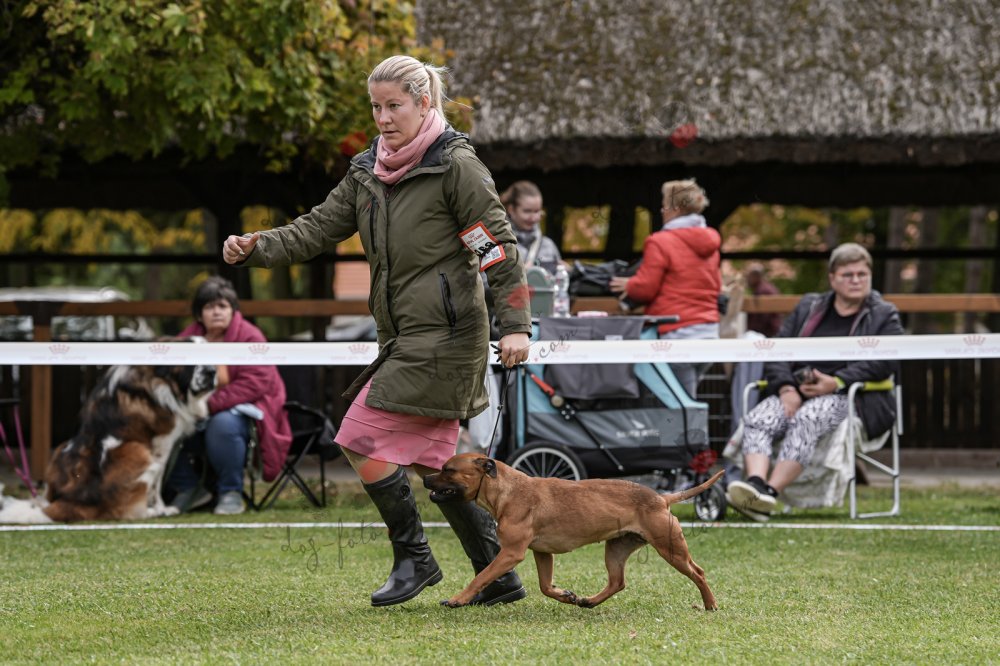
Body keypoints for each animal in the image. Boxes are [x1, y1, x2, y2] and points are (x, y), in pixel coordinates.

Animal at [0, 363, 216, 523]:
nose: (212, 372)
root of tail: (77, 499)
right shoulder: (164, 441)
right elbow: (157, 484)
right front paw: (161, 508)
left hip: (60, 449)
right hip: (139, 451)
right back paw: (148, 513)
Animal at [424, 453, 722, 610]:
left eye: (448, 469)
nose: (425, 478)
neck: (506, 490)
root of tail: (661, 498)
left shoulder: (510, 553)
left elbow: (481, 577)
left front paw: (458, 599)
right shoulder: (542, 553)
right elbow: (545, 586)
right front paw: (565, 595)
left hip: (670, 548)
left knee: (698, 573)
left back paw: (710, 605)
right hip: (616, 549)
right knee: (617, 582)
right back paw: (589, 601)